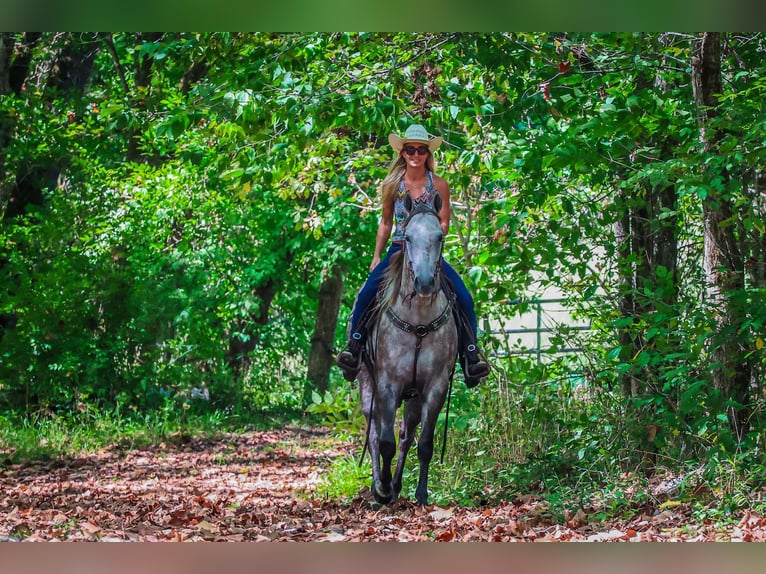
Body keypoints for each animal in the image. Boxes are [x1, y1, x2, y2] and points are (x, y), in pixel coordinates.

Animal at [358, 195, 460, 508]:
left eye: (440, 237)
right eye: (408, 238)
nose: (425, 283)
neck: (419, 321)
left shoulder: (435, 386)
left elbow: (424, 444)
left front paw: (421, 494)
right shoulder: (387, 385)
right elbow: (385, 443)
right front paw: (382, 489)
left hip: (414, 395)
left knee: (406, 434)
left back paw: (397, 485)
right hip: (367, 385)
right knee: (375, 434)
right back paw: (380, 486)